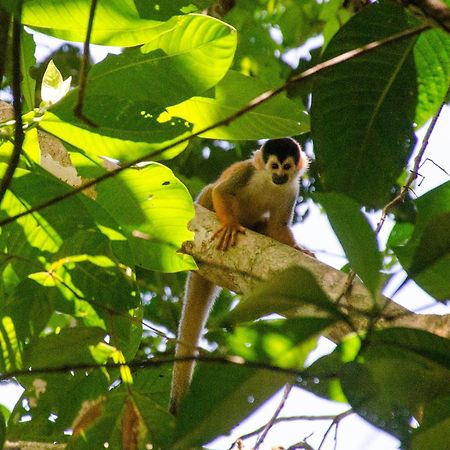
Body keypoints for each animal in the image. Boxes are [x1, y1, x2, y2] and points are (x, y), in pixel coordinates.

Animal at [169, 138, 310, 414]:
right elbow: (222, 192)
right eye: (274, 166)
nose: (279, 176)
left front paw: (298, 248)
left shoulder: (291, 191)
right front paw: (231, 225)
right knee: (210, 191)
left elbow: (277, 228)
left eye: (287, 167)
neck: (268, 182)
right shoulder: (247, 171)